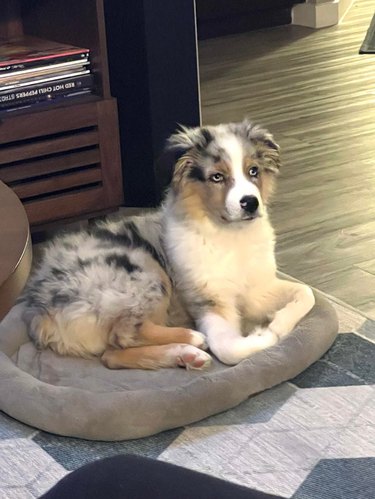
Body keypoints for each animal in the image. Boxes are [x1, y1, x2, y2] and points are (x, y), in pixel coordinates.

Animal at [20, 120, 314, 372]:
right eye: (217, 177)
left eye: (253, 171)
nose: (251, 203)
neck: (229, 236)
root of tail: (38, 310)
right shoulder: (207, 300)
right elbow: (229, 348)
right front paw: (265, 333)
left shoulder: (256, 290)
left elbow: (306, 292)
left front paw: (279, 321)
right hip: (142, 273)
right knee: (126, 333)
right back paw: (192, 339)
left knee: (112, 356)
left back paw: (187, 355)